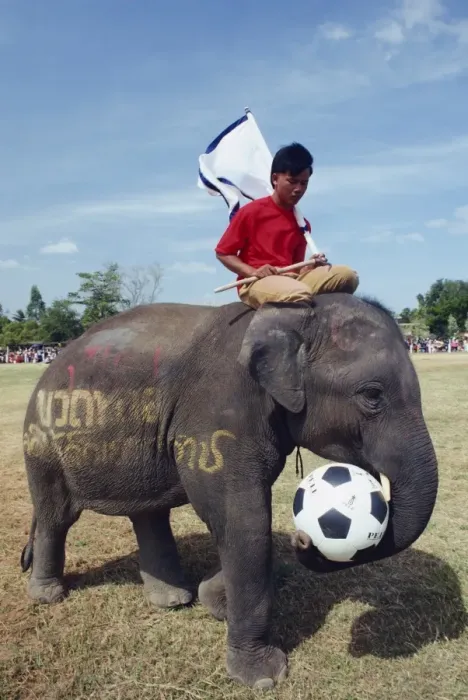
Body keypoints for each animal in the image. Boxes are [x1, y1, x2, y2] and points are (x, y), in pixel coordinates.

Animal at [20, 294, 438, 689]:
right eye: (372, 395)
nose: (303, 540)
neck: (289, 311)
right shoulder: (215, 419)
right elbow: (243, 519)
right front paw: (264, 676)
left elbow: (243, 521)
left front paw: (214, 599)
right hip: (41, 441)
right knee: (57, 515)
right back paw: (48, 595)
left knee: (148, 513)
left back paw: (173, 600)